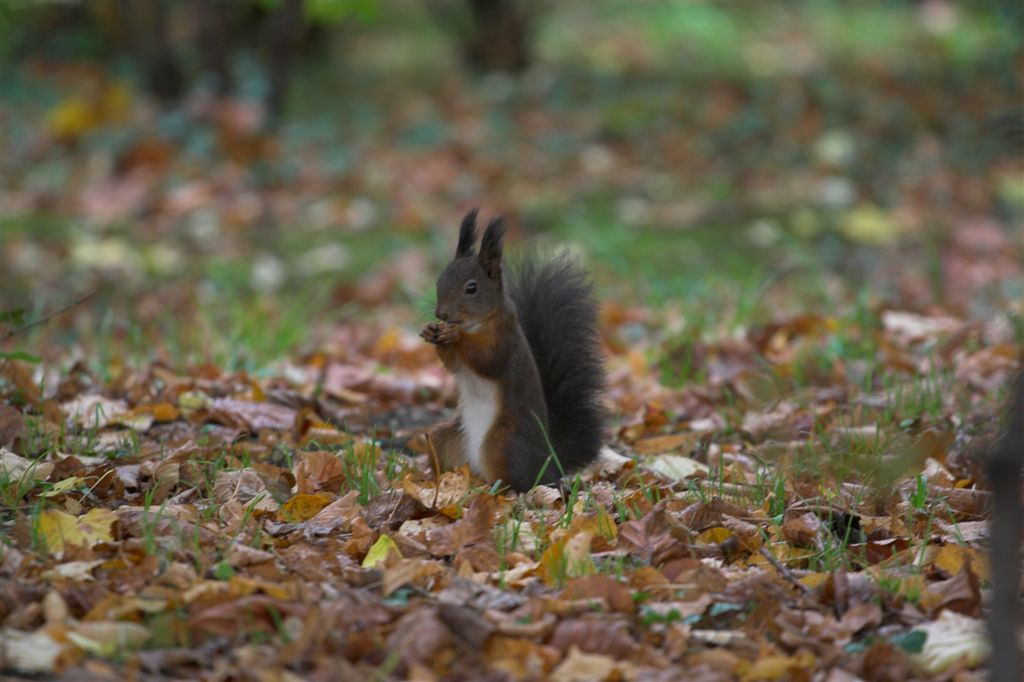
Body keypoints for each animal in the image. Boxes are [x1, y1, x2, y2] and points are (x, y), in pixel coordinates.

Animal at [417, 206, 602, 489]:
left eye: (471, 288)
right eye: (440, 280)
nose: (441, 314)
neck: (476, 323)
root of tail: (549, 462)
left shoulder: (506, 338)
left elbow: (488, 360)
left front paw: (456, 335)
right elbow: (453, 365)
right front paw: (432, 330)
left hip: (503, 440)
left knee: (518, 481)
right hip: (444, 438)